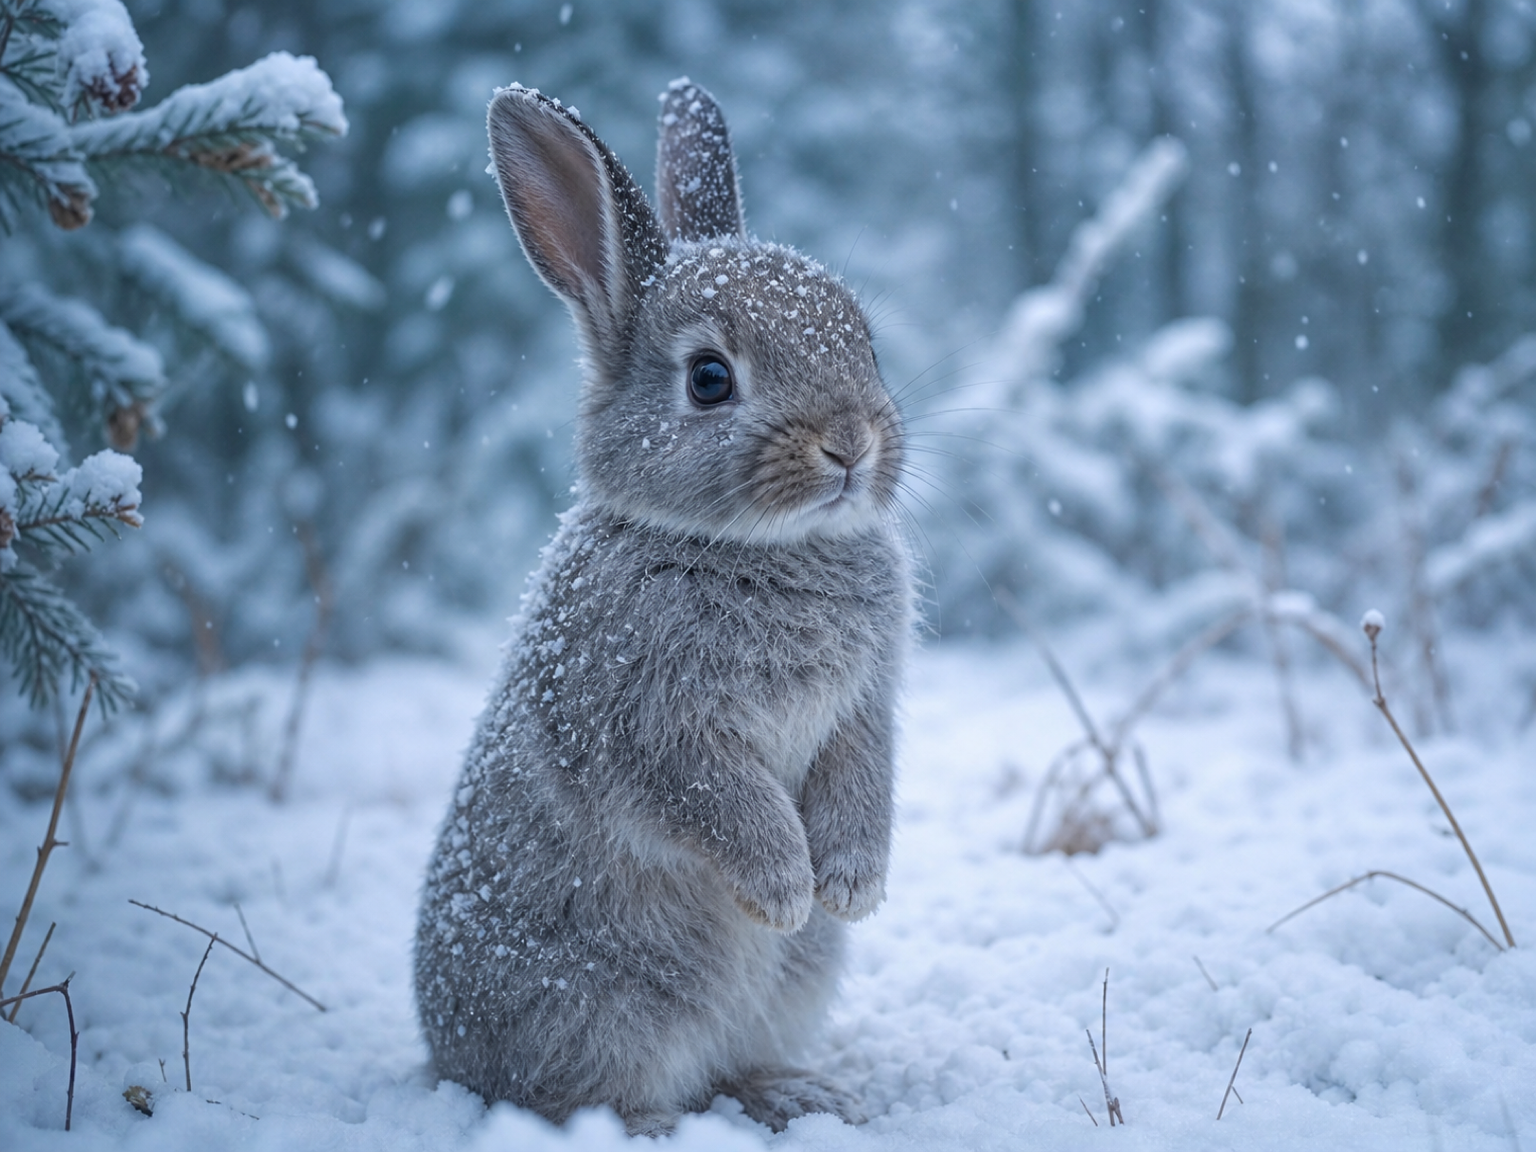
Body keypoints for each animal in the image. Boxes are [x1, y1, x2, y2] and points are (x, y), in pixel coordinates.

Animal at [413, 77, 912, 1137]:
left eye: (864, 340)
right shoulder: (651, 730)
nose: (851, 444)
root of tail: (448, 1055)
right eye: (710, 378)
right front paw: (786, 890)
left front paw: (849, 890)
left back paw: (800, 1093)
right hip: (614, 1006)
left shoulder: (865, 708)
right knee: (576, 1096)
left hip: (786, 991)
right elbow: (721, 805)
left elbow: (863, 780)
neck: (758, 549)